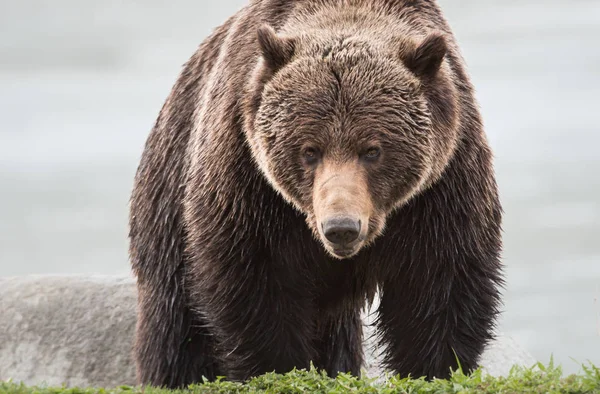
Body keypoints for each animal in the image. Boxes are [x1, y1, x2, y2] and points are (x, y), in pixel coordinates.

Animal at [129, 0, 504, 388]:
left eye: (372, 150)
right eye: (310, 150)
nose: (341, 227)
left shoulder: (442, 184)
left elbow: (437, 284)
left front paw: (433, 368)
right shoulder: (248, 181)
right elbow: (255, 286)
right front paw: (278, 368)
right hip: (169, 208)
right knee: (175, 328)